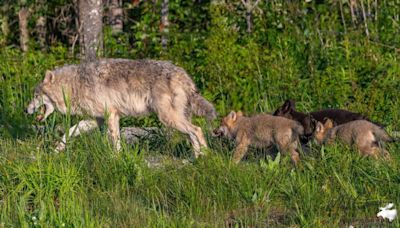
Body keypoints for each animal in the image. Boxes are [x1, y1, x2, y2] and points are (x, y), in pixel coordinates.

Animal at [25, 58, 216, 158]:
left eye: (35, 96)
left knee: (197, 130)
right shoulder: (96, 120)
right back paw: (196, 158)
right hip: (176, 119)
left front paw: (116, 158)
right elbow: (69, 132)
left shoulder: (111, 115)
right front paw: (56, 149)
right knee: (192, 135)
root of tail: (183, 74)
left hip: (168, 118)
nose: (25, 110)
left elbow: (114, 140)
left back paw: (206, 155)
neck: (74, 85)